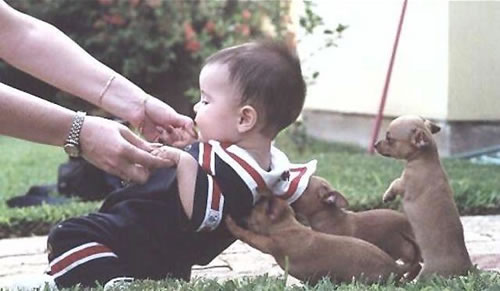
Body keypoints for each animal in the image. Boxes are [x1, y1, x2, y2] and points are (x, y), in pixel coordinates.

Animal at [227, 194, 410, 286]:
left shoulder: (268, 243)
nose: (239, 213)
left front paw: (230, 223)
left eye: (251, 211)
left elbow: (246, 235)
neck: (287, 225)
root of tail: (395, 266)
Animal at [376, 115, 472, 280]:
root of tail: (466, 269)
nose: (376, 144)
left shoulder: (404, 184)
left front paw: (388, 195)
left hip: (427, 272)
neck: (425, 159)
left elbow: (395, 182)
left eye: (389, 138)